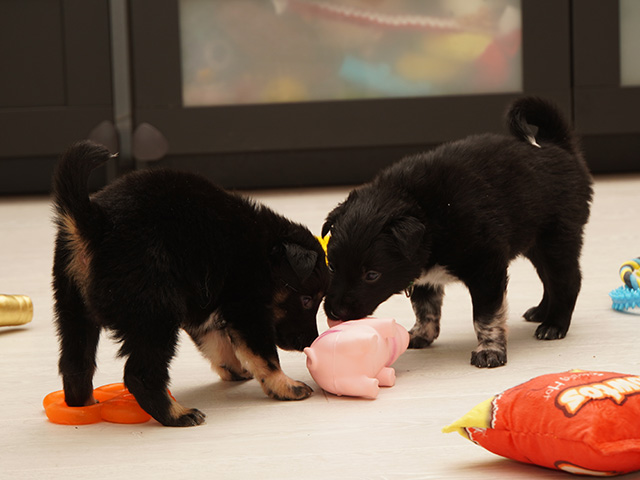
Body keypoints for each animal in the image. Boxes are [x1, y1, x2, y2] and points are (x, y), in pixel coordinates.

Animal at [52, 141, 329, 426]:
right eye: (307, 300)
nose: (310, 342)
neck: (263, 251)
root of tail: (94, 223)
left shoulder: (209, 306)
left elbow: (217, 342)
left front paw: (235, 368)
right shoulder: (248, 309)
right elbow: (265, 356)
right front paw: (286, 386)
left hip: (72, 308)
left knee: (75, 365)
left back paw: (83, 408)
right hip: (155, 313)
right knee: (140, 374)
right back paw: (177, 414)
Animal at [321, 96, 593, 368]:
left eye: (372, 275)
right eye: (331, 266)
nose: (335, 311)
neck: (425, 211)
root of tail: (557, 145)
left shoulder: (486, 270)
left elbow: (486, 316)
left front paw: (489, 350)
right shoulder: (424, 274)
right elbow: (425, 307)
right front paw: (421, 334)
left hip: (557, 239)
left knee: (567, 280)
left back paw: (554, 324)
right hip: (534, 243)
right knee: (548, 279)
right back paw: (541, 312)